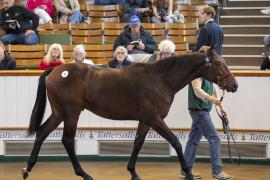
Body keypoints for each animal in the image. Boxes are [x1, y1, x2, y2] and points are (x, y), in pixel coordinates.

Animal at [23, 45, 238, 179]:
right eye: (218, 63)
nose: (234, 85)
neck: (160, 79)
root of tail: (55, 71)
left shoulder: (146, 120)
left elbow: (137, 143)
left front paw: (133, 172)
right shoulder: (155, 119)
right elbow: (175, 141)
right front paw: (188, 173)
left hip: (59, 113)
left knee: (42, 132)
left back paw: (27, 169)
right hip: (71, 114)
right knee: (67, 140)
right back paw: (84, 174)